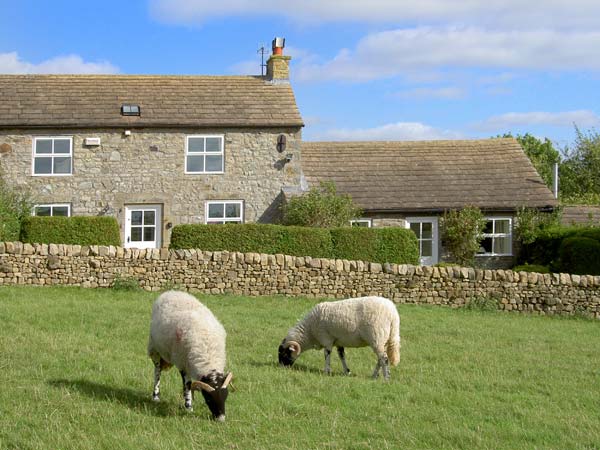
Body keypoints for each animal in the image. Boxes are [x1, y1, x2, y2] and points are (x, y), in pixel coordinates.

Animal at [147, 290, 232, 420]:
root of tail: (171, 291)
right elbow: (187, 385)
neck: (208, 354)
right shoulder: (182, 363)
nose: (221, 419)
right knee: (157, 371)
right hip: (155, 349)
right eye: (208, 398)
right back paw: (156, 396)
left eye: (225, 396)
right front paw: (189, 407)